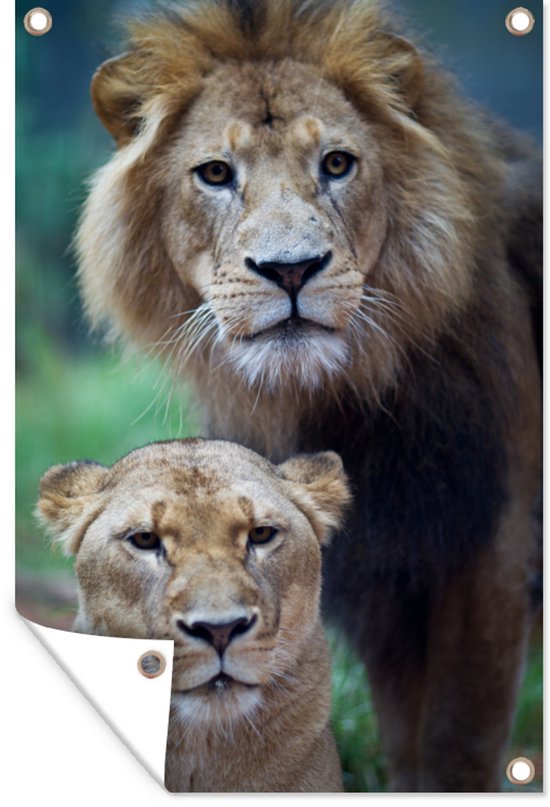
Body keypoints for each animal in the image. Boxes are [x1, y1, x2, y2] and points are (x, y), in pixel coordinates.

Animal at [75, 0, 542, 792]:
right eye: (215, 173)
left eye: (337, 164)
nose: (291, 269)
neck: (339, 396)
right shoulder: (384, 576)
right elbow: (407, 743)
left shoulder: (488, 548)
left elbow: (456, 744)